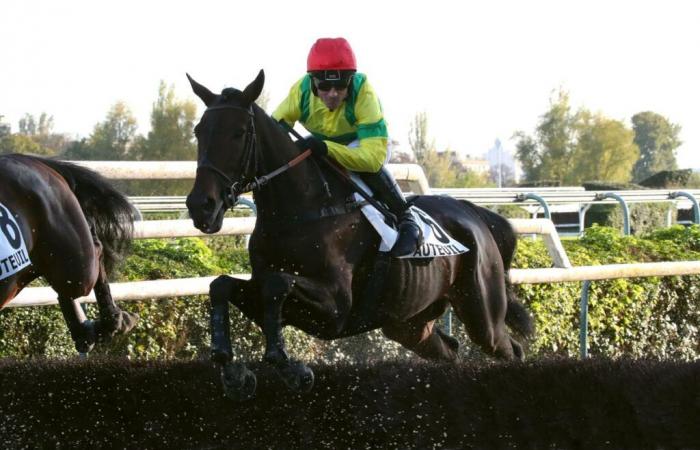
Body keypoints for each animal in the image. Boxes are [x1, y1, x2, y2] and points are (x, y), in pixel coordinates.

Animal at [186, 71, 536, 400]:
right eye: (198, 131)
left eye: (239, 133)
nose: (201, 206)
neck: (302, 210)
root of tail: (475, 214)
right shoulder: (265, 293)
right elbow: (222, 285)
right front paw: (231, 369)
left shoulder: (336, 309)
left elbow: (278, 283)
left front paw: (289, 367)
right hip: (408, 325)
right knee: (450, 352)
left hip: (482, 315)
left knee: (510, 350)